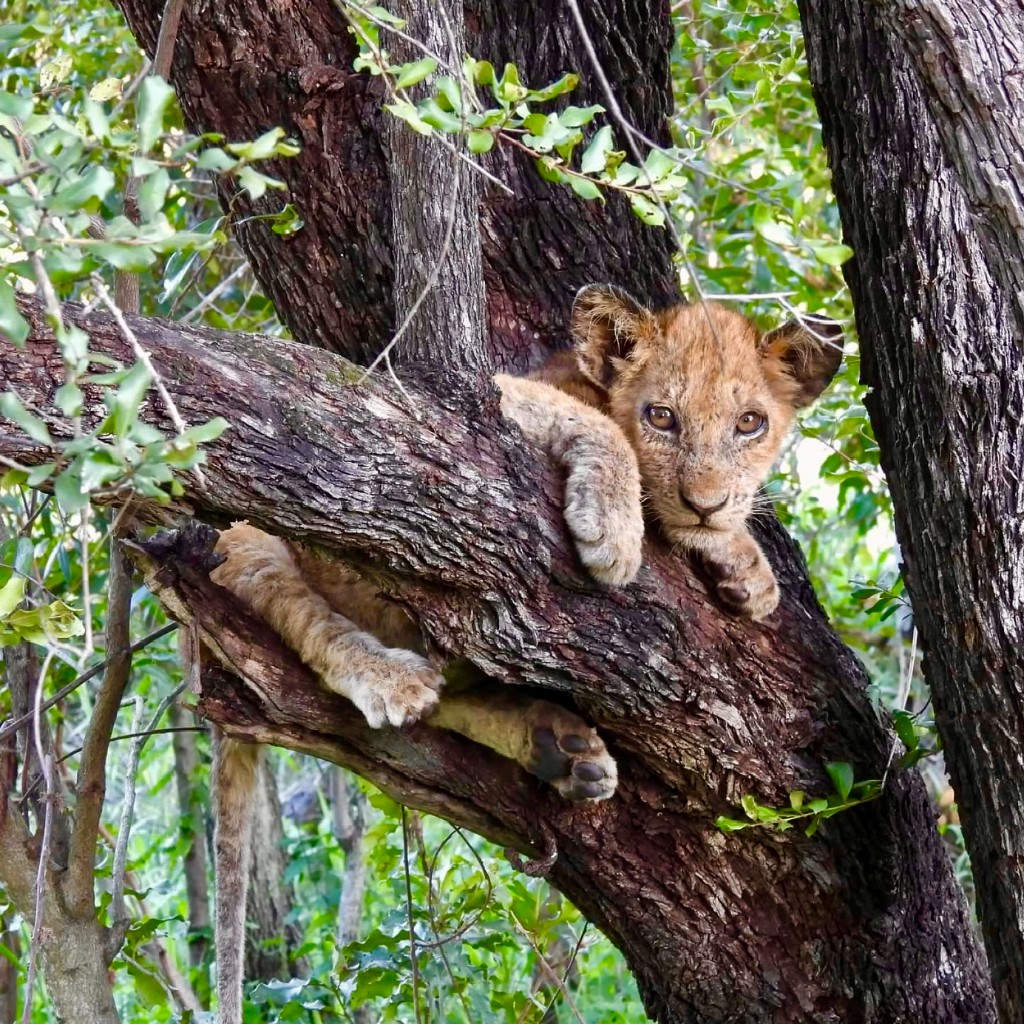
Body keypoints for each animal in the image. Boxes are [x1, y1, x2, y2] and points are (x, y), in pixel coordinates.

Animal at [206, 284, 841, 1023]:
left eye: (749, 423)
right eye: (661, 416)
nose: (705, 502)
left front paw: (749, 571)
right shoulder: (466, 406)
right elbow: (595, 430)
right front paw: (615, 532)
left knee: (452, 696)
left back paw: (560, 751)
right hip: (250, 541)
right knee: (318, 633)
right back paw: (393, 680)